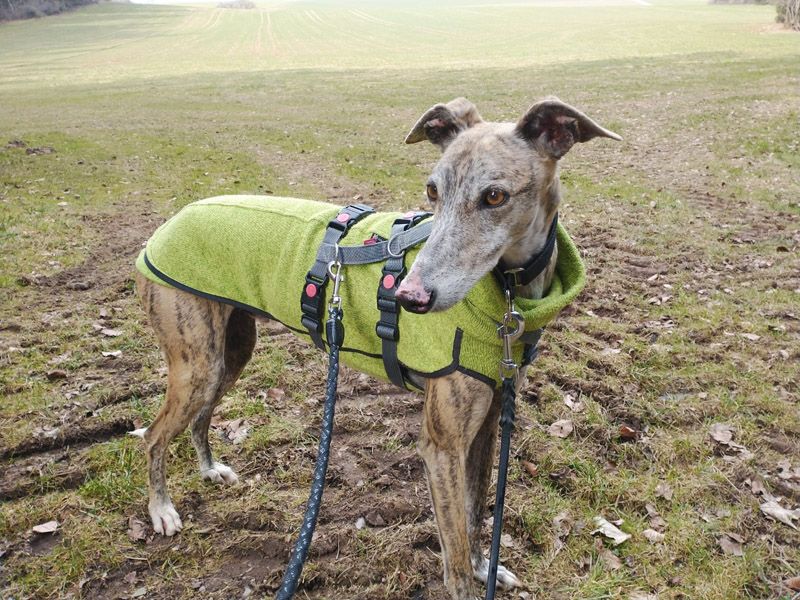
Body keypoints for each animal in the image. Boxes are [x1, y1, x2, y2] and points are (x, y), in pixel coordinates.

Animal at [136, 96, 620, 596]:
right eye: (432, 191)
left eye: (494, 196)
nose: (410, 297)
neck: (508, 295)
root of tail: (175, 217)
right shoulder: (441, 445)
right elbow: (455, 556)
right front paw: (470, 575)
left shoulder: (489, 419)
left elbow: (476, 515)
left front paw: (487, 565)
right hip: (195, 362)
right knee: (152, 436)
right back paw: (162, 510)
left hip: (228, 353)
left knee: (202, 415)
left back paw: (209, 468)